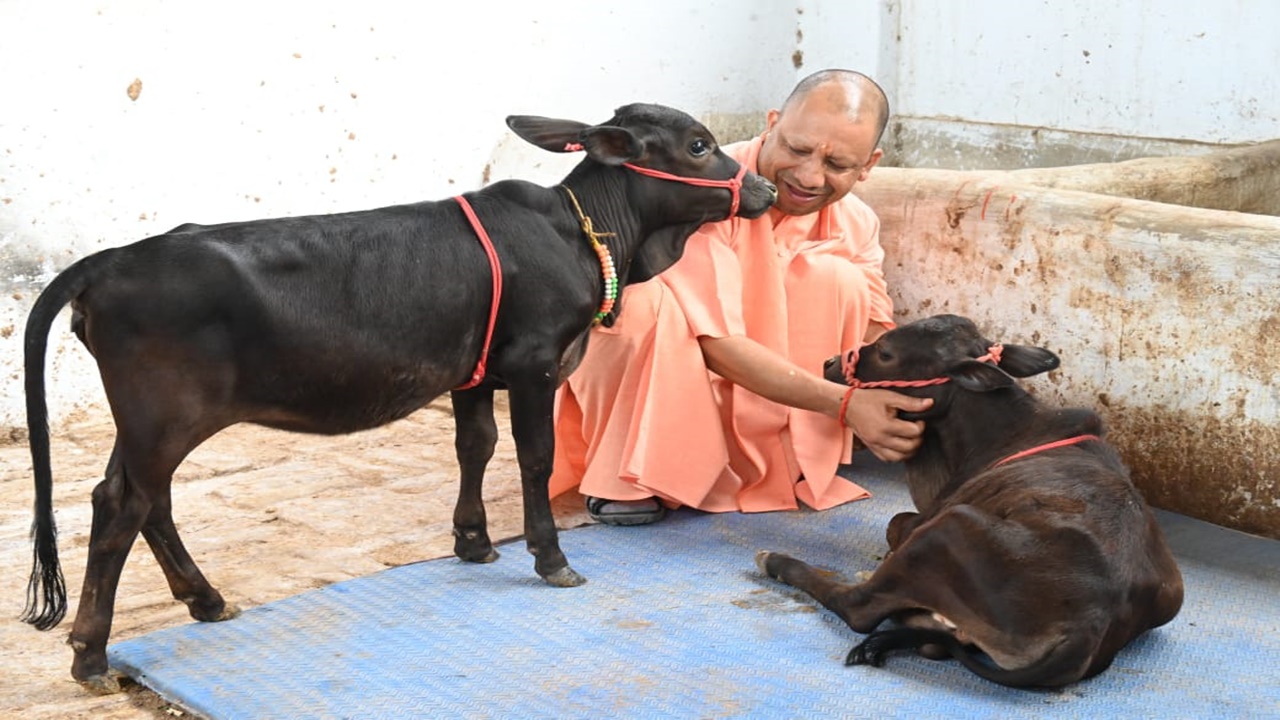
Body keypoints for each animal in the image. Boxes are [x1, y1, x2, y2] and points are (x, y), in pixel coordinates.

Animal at [22, 102, 778, 691]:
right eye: (699, 145)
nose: (766, 188)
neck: (586, 234)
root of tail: (110, 261)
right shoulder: (534, 364)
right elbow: (532, 458)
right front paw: (551, 558)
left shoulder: (476, 373)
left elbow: (476, 446)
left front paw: (474, 542)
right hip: (164, 416)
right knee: (122, 507)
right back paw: (91, 654)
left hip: (146, 425)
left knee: (138, 500)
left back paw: (206, 600)